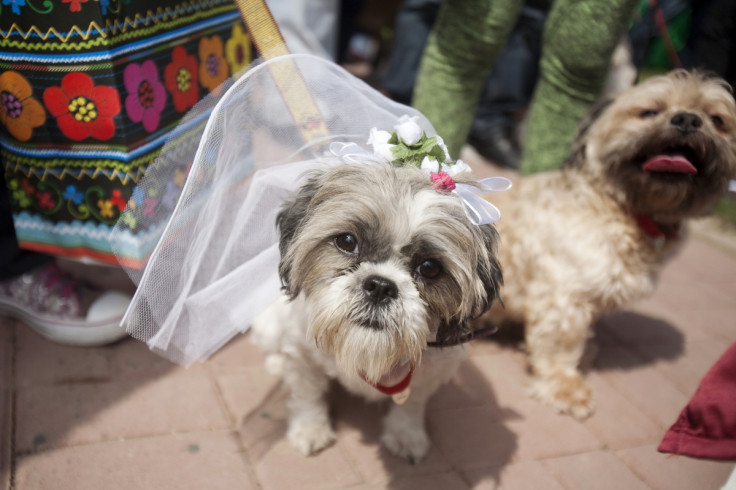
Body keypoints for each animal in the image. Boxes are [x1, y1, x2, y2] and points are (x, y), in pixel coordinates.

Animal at [252, 164, 500, 464]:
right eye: (347, 241)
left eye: (430, 268)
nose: (381, 286)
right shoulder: (301, 352)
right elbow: (307, 392)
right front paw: (310, 428)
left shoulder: (436, 370)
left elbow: (412, 403)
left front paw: (406, 434)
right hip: (268, 326)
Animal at [480, 71, 736, 420]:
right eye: (649, 112)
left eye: (717, 120)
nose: (687, 119)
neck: (618, 208)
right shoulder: (563, 294)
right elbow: (561, 344)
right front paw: (565, 386)